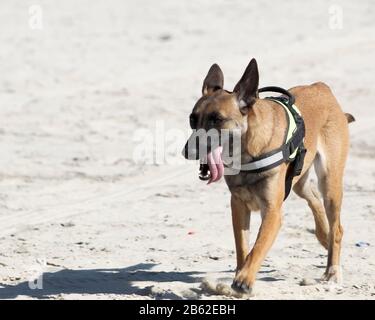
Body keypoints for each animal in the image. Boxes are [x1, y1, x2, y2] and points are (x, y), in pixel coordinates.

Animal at [182, 58, 356, 294]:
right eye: (193, 119)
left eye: (217, 120)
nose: (187, 151)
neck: (247, 150)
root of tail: (321, 87)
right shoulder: (238, 207)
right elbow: (243, 247)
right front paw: (241, 273)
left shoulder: (273, 213)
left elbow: (258, 247)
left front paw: (245, 279)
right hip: (299, 181)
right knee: (312, 195)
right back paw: (323, 233)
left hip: (330, 183)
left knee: (337, 227)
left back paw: (332, 270)